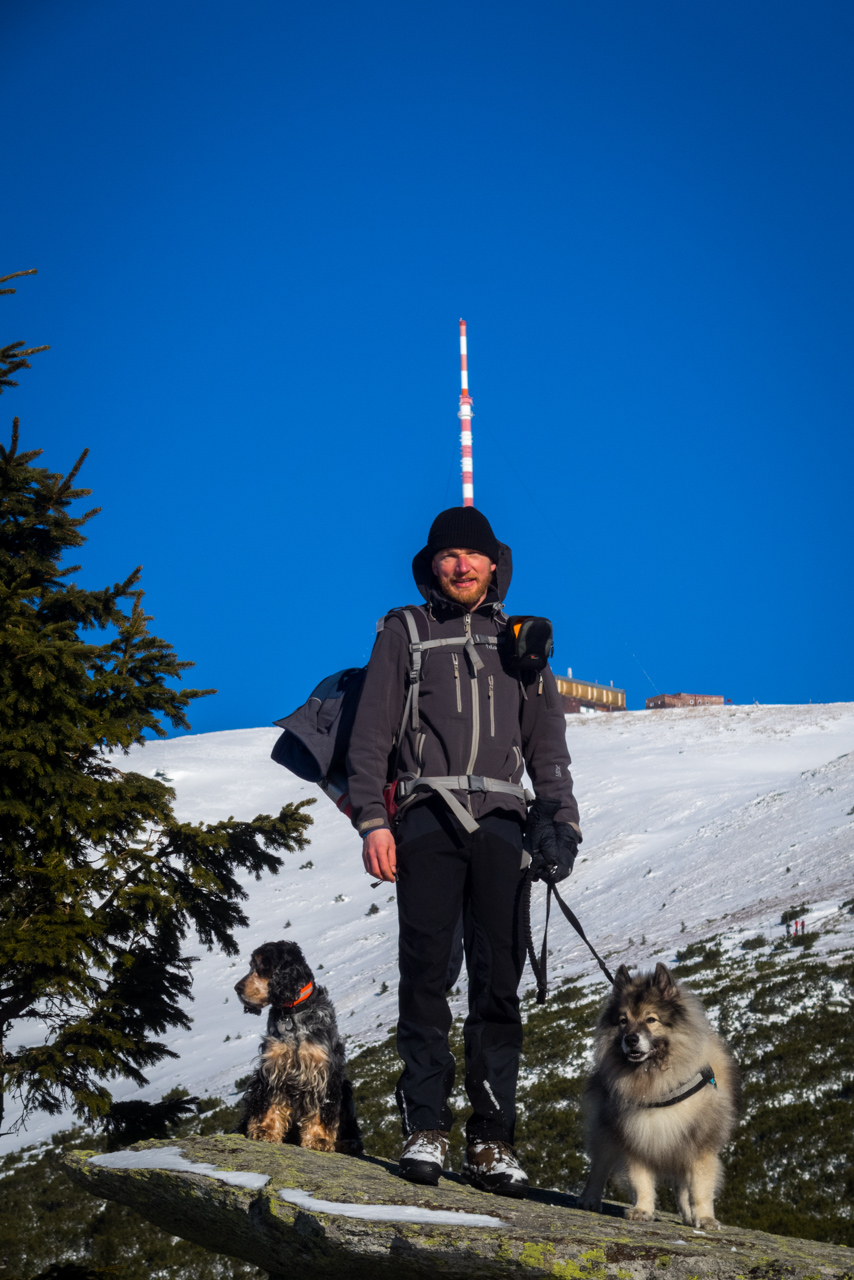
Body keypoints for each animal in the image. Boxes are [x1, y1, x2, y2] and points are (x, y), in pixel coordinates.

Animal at [234, 936, 363, 1157]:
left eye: (263, 965)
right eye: (251, 965)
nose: (237, 988)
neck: (292, 1014)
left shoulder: (323, 1071)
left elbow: (322, 1109)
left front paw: (319, 1139)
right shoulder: (273, 1067)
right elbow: (270, 1101)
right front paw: (265, 1130)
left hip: (345, 1090)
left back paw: (348, 1143)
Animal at [581, 962, 742, 1228]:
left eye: (651, 1019)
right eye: (623, 1021)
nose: (631, 1039)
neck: (656, 1081)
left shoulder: (699, 1144)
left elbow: (699, 1188)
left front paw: (704, 1218)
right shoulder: (635, 1139)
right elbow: (640, 1180)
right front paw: (642, 1210)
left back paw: (689, 1216)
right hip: (605, 1133)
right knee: (599, 1168)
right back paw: (589, 1200)